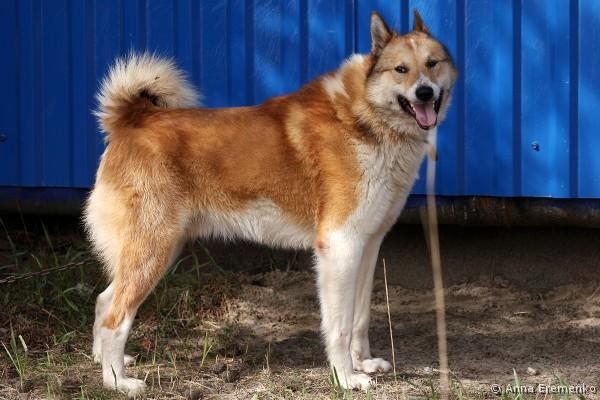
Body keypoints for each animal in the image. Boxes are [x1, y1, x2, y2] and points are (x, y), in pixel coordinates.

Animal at [85, 10, 457, 396]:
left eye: (432, 64)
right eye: (401, 69)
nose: (425, 92)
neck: (366, 117)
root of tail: (131, 120)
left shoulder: (367, 247)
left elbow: (359, 317)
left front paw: (363, 363)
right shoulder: (339, 247)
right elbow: (338, 326)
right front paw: (346, 378)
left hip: (155, 251)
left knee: (104, 301)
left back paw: (106, 363)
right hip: (152, 252)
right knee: (115, 318)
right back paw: (117, 382)